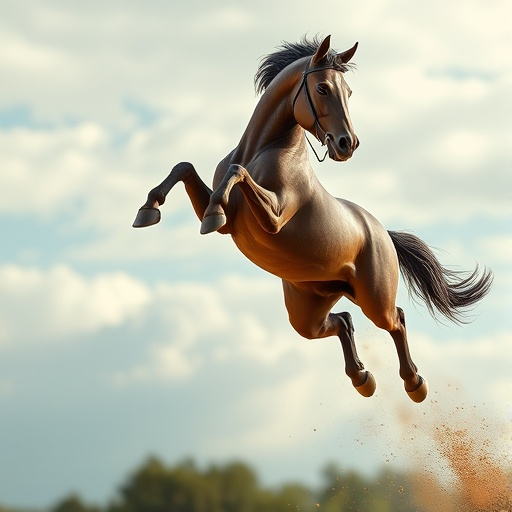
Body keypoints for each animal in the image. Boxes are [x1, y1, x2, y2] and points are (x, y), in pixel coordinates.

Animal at [132, 36, 492, 404]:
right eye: (322, 88)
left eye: (348, 92)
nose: (348, 144)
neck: (259, 150)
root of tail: (382, 232)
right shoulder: (231, 220)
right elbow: (186, 167)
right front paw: (148, 210)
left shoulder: (274, 218)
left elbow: (236, 172)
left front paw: (206, 214)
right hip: (309, 310)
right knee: (343, 320)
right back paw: (362, 378)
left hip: (374, 300)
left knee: (397, 320)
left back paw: (414, 384)